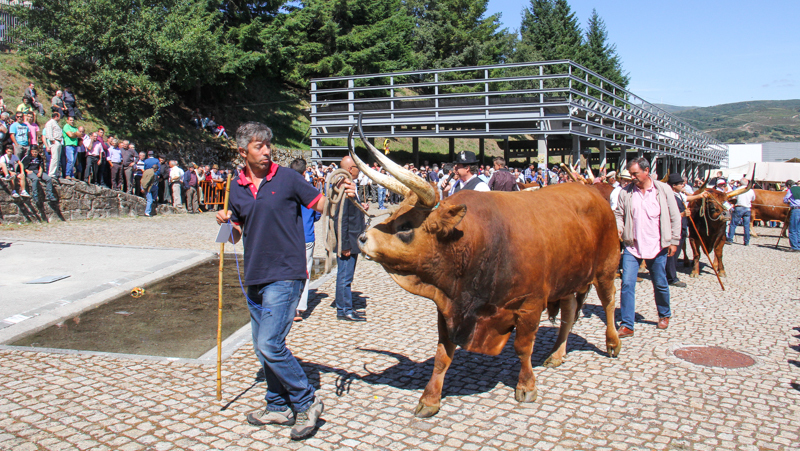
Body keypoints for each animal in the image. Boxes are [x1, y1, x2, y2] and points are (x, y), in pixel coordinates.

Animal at [348, 121, 620, 420]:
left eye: (406, 226)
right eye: (394, 214)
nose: (362, 238)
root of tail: (593, 194)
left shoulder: (530, 305)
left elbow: (522, 347)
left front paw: (526, 386)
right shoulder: (449, 310)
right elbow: (442, 355)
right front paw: (430, 399)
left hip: (606, 268)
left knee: (608, 303)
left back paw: (612, 343)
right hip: (568, 279)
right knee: (569, 313)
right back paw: (557, 354)